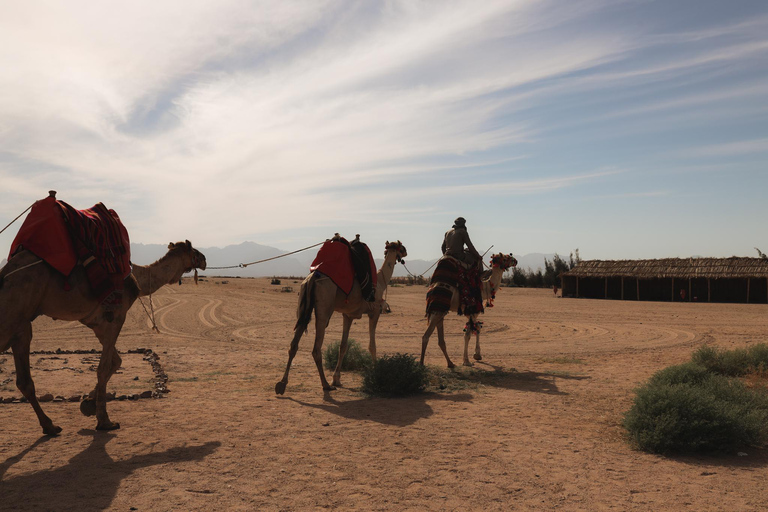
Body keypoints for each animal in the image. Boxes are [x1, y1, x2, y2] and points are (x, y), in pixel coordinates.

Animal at [0, 194, 207, 434]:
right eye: (193, 250)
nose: (204, 259)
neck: (136, 277)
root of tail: (4, 275)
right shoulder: (117, 315)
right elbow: (104, 367)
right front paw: (105, 421)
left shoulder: (98, 322)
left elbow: (116, 362)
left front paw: (88, 404)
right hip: (13, 317)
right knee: (24, 377)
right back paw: (51, 425)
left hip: (19, 325)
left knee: (24, 380)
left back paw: (50, 426)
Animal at [276, 238, 408, 394]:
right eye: (400, 246)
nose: (406, 251)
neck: (381, 280)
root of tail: (312, 278)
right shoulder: (374, 312)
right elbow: (372, 345)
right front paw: (377, 373)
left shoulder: (348, 315)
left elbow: (343, 346)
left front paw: (337, 378)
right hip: (324, 306)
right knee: (316, 348)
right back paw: (325, 384)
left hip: (303, 304)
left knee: (294, 344)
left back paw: (282, 384)